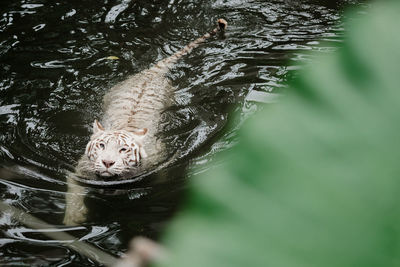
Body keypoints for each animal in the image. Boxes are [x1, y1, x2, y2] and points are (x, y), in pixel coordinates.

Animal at [63, 17, 227, 225]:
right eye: (101, 145)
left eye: (123, 150)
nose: (107, 162)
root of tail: (150, 73)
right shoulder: (79, 172)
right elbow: (73, 194)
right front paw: (73, 218)